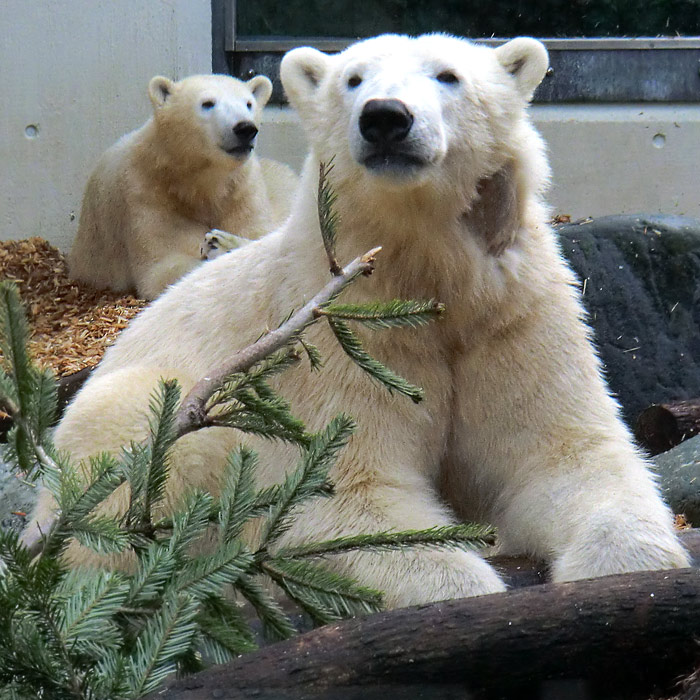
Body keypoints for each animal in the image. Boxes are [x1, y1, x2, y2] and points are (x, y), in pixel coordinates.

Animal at [70, 74, 298, 300]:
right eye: (207, 103)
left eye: (249, 104)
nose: (245, 128)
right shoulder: (148, 194)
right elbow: (162, 267)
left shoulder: (242, 192)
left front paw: (224, 242)